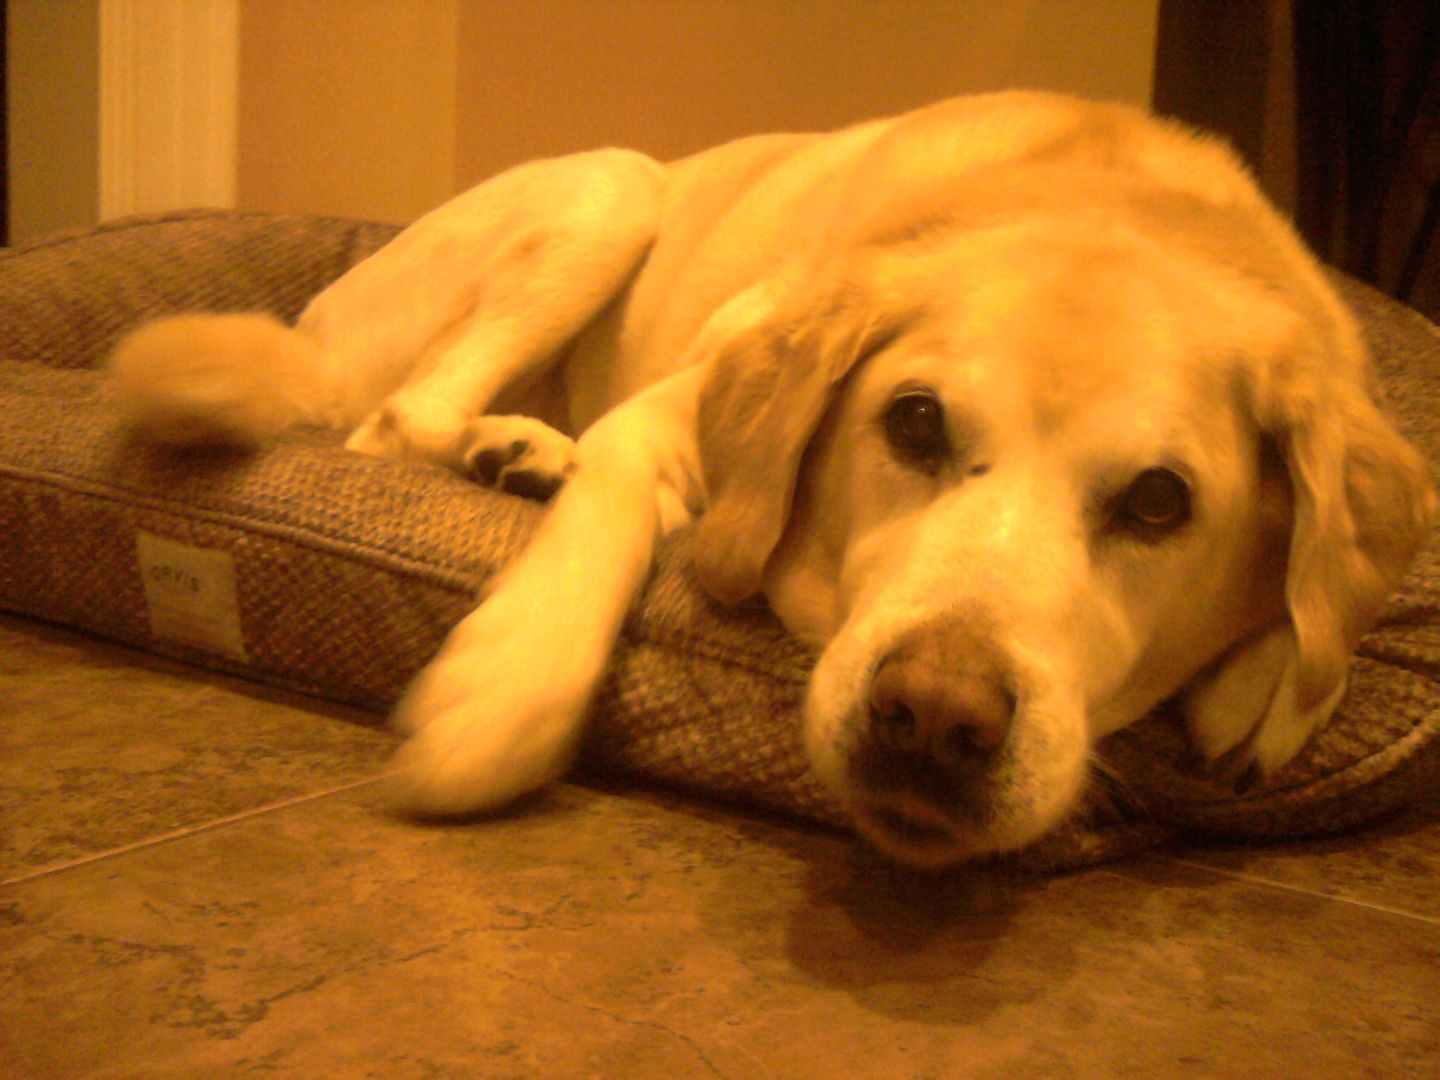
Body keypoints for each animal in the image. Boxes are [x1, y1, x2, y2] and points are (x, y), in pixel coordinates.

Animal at [109, 92, 1428, 869]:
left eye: (1161, 502)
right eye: (913, 423)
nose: (935, 718)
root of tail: (310, 327)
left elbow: (1320, 617)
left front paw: (1272, 681)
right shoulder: (682, 401)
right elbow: (604, 527)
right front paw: (497, 700)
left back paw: (525, 450)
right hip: (613, 185)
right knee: (394, 426)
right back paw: (510, 456)